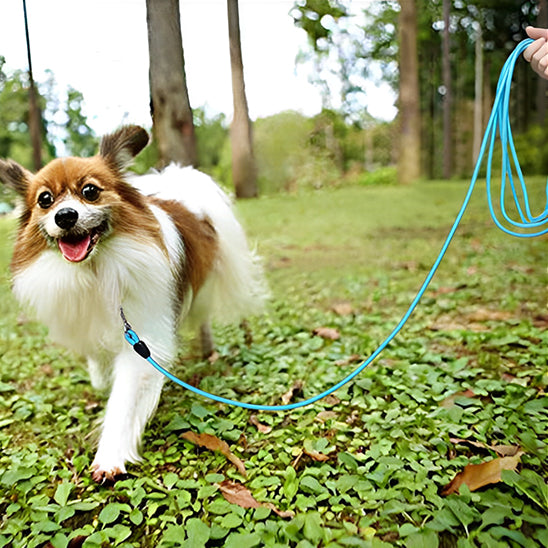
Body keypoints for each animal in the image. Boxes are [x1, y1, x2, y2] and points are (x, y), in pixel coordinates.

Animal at [0, 126, 268, 482]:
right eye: (45, 200)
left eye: (90, 191)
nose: (65, 216)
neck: (95, 270)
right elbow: (96, 362)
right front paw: (100, 377)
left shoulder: (142, 339)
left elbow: (123, 401)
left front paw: (110, 457)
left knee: (204, 317)